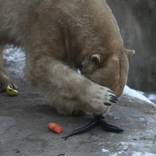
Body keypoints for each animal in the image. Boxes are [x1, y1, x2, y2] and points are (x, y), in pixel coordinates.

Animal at [0, 0, 134, 115]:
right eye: (111, 90)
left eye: (119, 94)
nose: (102, 116)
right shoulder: (46, 21)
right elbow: (39, 63)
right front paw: (102, 98)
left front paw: (74, 108)